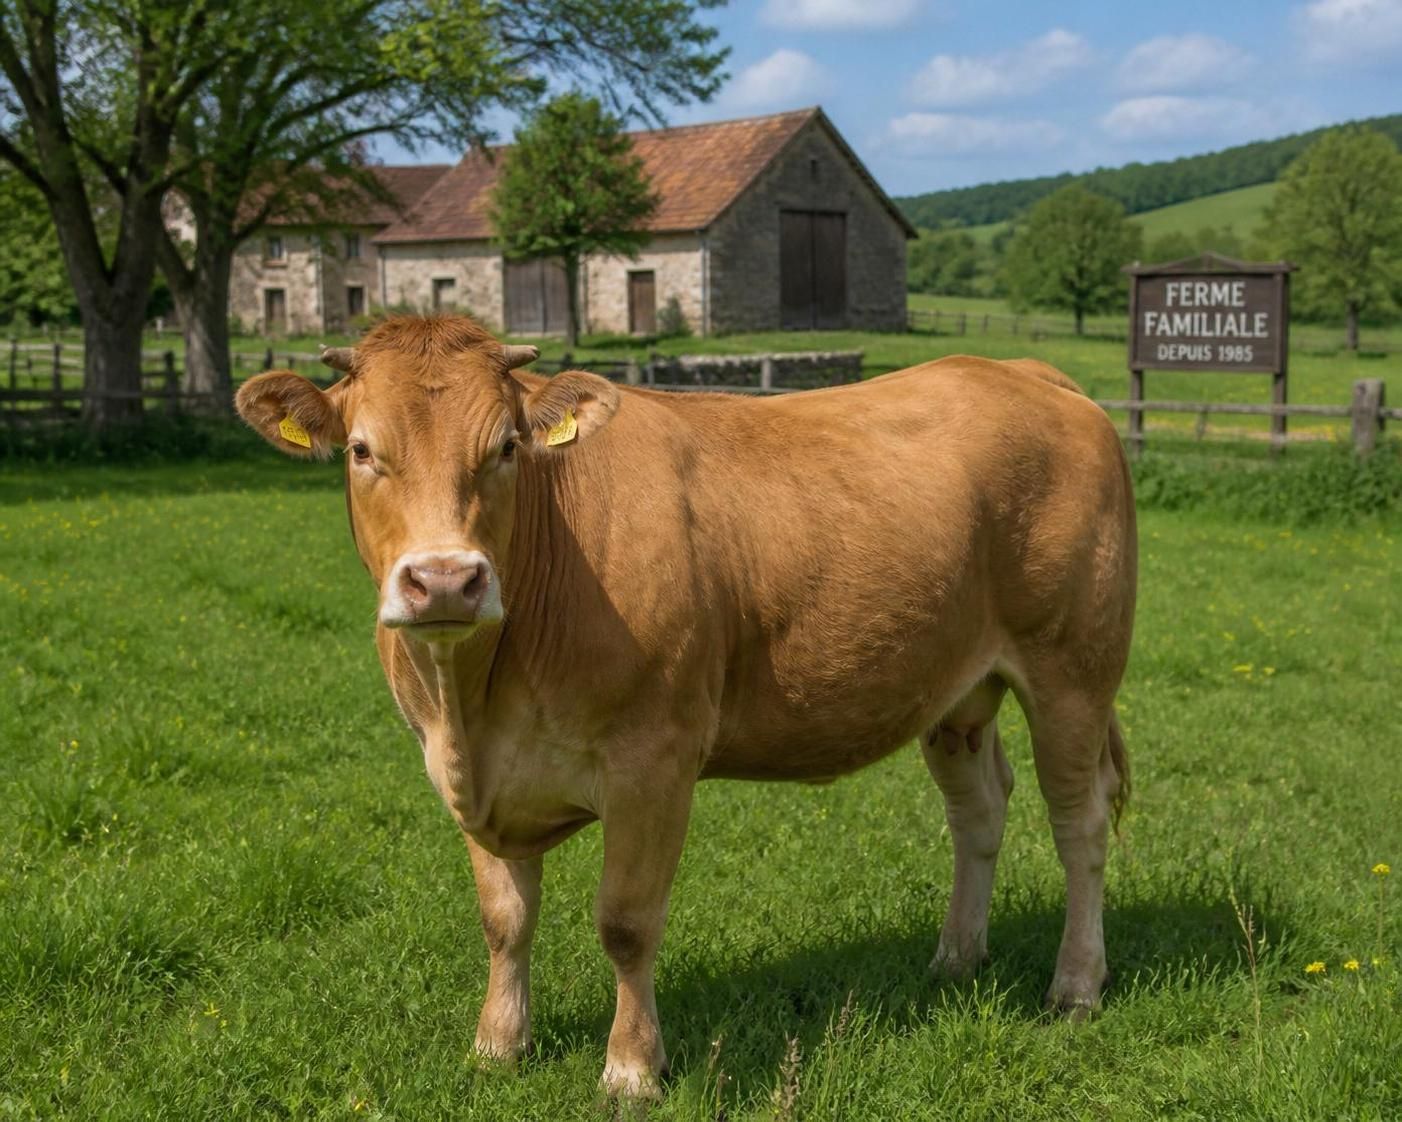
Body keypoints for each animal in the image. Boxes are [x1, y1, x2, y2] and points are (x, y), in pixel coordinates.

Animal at [234, 315, 1136, 1099]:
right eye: (361, 450)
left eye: (505, 447)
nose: (447, 581)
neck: (478, 696)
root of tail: (1023, 373)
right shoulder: (463, 771)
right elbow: (503, 918)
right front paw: (498, 1045)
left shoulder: (654, 760)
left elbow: (627, 922)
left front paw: (632, 1069)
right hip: (957, 690)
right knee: (978, 810)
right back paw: (956, 956)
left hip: (1073, 669)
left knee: (1080, 822)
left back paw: (1075, 986)